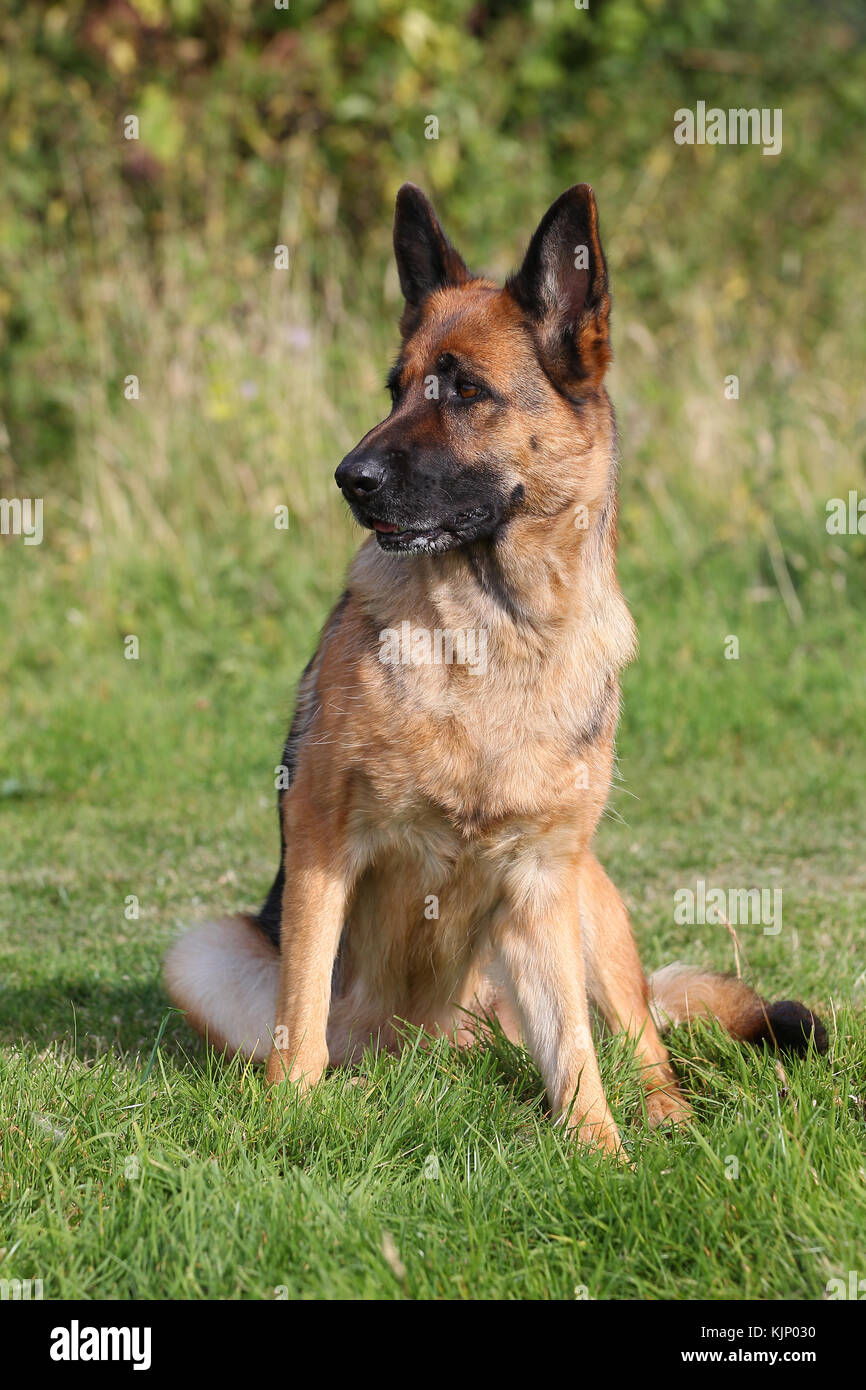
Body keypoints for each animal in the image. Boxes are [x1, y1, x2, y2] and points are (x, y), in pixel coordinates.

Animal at [164, 179, 828, 1150]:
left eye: (468, 391)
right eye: (395, 389)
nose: (348, 477)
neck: (497, 633)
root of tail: (432, 1049)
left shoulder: (542, 882)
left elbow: (579, 1052)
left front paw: (603, 1155)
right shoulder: (323, 845)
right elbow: (301, 1016)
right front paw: (290, 1120)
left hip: (590, 896)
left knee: (637, 1032)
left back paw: (667, 1114)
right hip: (204, 953)